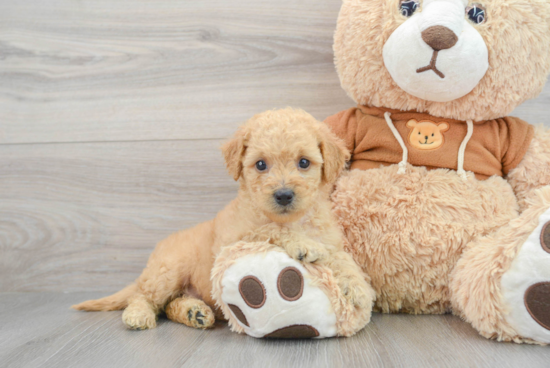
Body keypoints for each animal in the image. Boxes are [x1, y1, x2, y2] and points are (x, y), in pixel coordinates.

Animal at [73, 108, 374, 330]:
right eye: (261, 164)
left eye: (303, 162)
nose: (283, 195)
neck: (293, 219)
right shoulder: (234, 240)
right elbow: (269, 229)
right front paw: (302, 244)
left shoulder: (329, 239)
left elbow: (341, 257)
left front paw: (358, 286)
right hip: (167, 271)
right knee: (145, 297)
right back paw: (138, 315)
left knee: (170, 305)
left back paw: (194, 312)